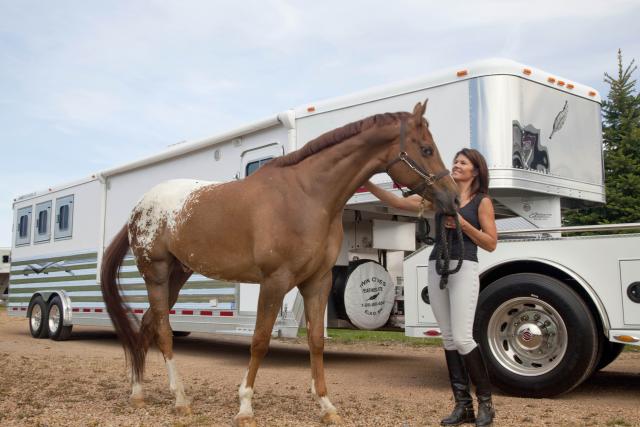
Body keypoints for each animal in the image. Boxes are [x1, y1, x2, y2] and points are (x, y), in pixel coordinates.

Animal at [100, 99, 458, 424]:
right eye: (426, 149)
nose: (452, 197)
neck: (307, 196)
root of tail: (139, 207)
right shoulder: (275, 281)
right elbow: (259, 341)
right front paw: (245, 407)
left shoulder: (318, 281)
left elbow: (316, 342)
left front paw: (326, 406)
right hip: (157, 274)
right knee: (162, 331)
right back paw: (180, 400)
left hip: (178, 275)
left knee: (147, 324)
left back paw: (139, 393)